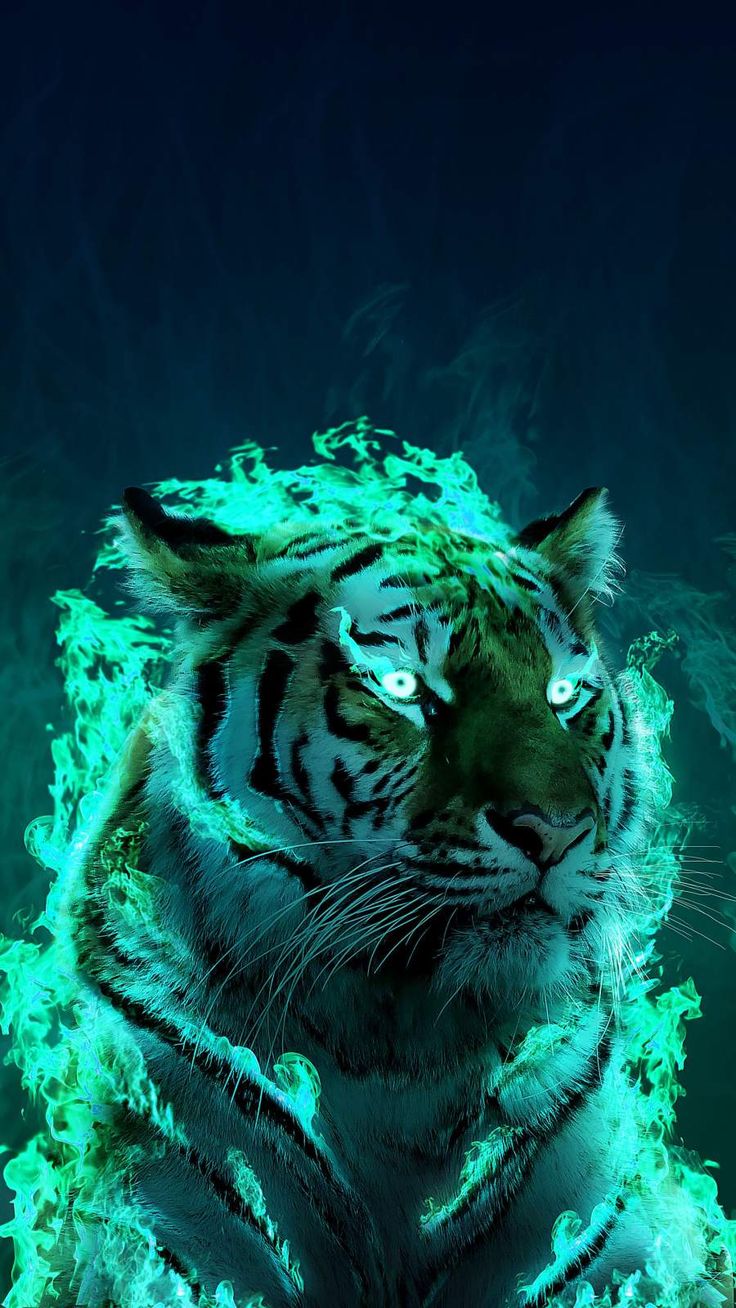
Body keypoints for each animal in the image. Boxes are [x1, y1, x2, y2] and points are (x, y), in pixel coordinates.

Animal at [34, 475, 733, 1308]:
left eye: (564, 695)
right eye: (403, 687)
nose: (557, 829)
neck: (402, 1051)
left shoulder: (620, 1238)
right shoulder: (156, 1215)